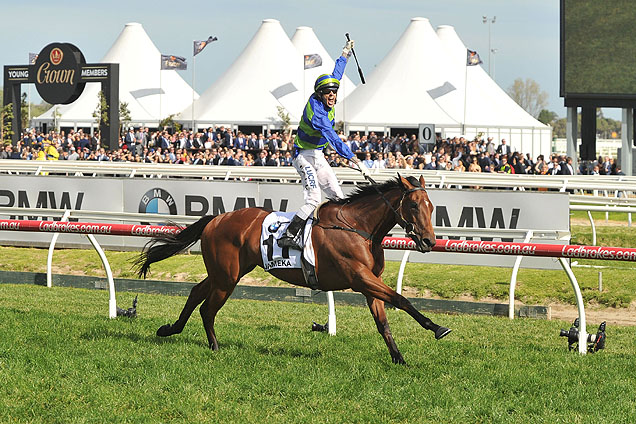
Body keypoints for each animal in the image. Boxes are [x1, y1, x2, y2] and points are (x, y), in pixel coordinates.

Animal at [137, 176, 450, 364]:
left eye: (431, 206)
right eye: (413, 205)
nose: (429, 241)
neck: (358, 227)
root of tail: (216, 218)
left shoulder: (369, 282)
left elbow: (383, 322)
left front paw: (398, 358)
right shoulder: (359, 277)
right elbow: (401, 299)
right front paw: (437, 328)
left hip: (226, 272)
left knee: (195, 292)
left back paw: (170, 329)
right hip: (227, 277)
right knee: (207, 308)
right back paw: (213, 346)